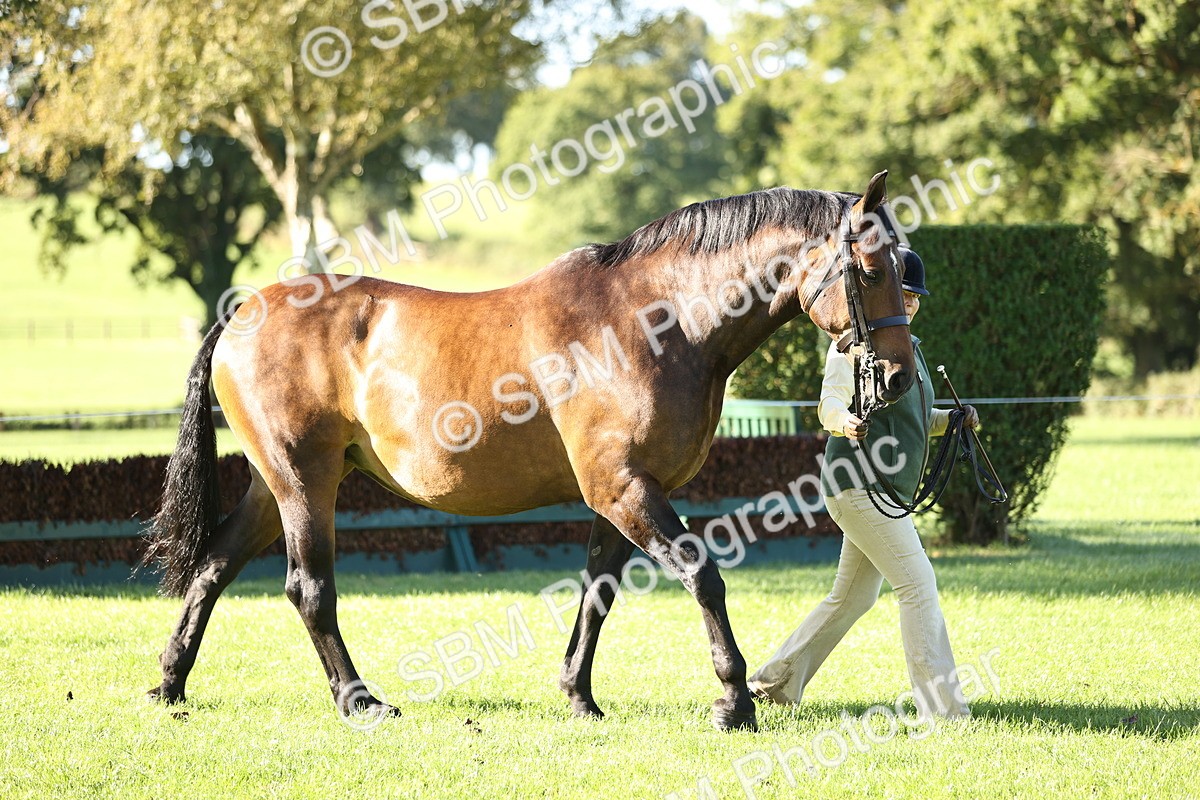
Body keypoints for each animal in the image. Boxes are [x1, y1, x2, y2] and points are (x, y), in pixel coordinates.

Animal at [143, 170, 915, 732]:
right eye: (872, 269)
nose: (899, 376)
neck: (654, 321)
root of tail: (243, 311)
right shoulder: (624, 489)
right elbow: (703, 576)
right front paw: (734, 702)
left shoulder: (621, 495)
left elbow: (597, 594)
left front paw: (580, 696)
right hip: (306, 484)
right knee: (309, 590)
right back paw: (359, 700)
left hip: (271, 487)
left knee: (213, 568)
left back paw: (170, 684)